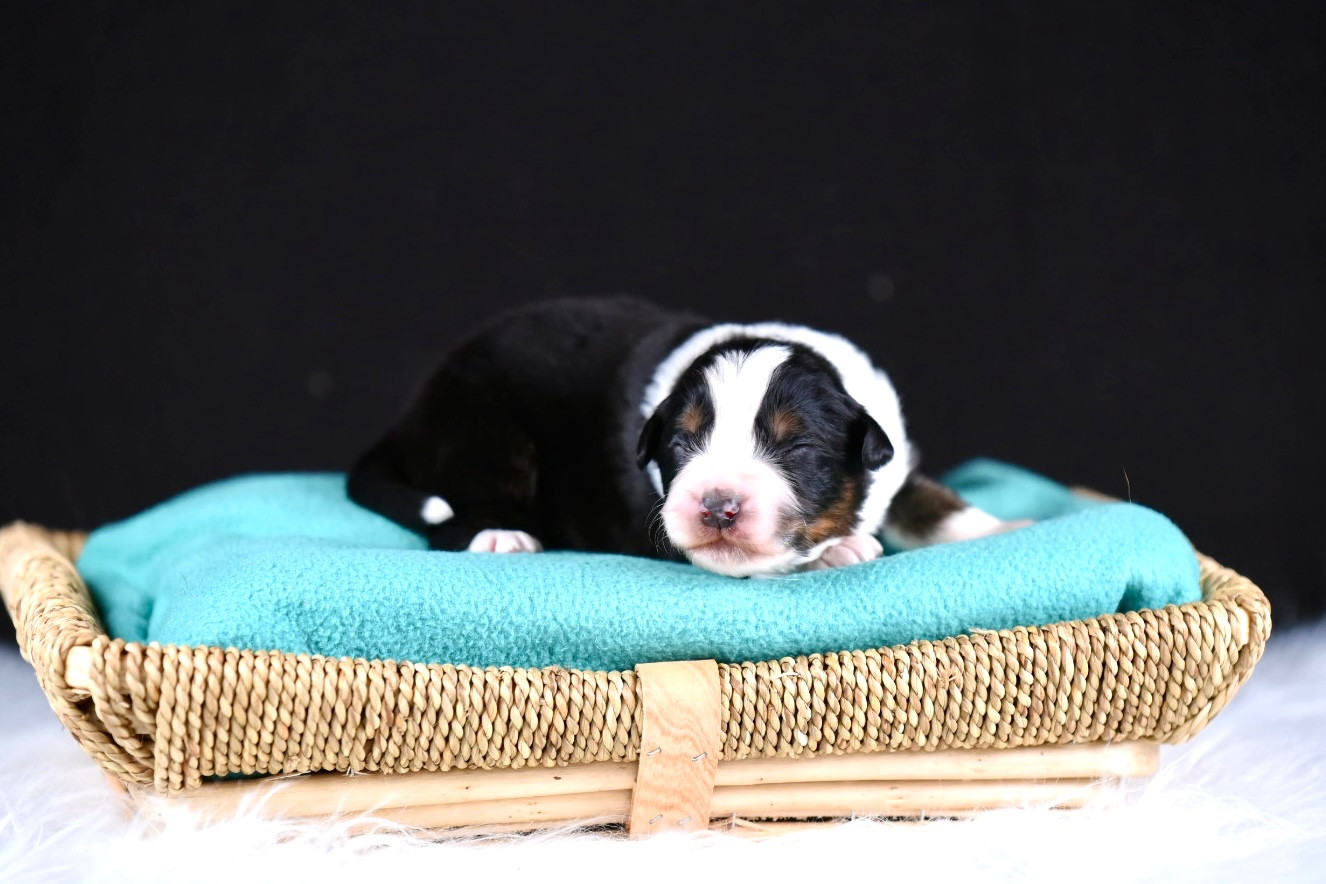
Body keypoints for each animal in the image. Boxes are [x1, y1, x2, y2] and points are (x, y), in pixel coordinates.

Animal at [348, 296, 1021, 577]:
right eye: (680, 445)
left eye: (798, 447)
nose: (718, 507)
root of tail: (407, 417)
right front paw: (841, 549)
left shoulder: (893, 462)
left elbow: (935, 502)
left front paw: (1006, 528)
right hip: (488, 436)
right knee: (448, 520)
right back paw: (499, 537)